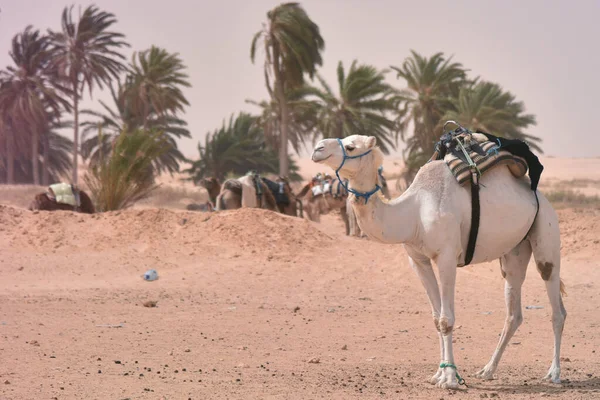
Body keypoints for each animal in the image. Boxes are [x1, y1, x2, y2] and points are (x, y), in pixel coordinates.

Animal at [312, 134, 568, 388]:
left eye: (350, 146)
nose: (317, 149)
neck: (413, 212)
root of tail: (539, 195)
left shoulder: (446, 256)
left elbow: (446, 320)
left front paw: (450, 379)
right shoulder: (418, 259)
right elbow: (436, 319)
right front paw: (439, 373)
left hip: (546, 229)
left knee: (556, 302)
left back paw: (554, 373)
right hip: (514, 250)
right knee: (514, 309)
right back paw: (487, 370)